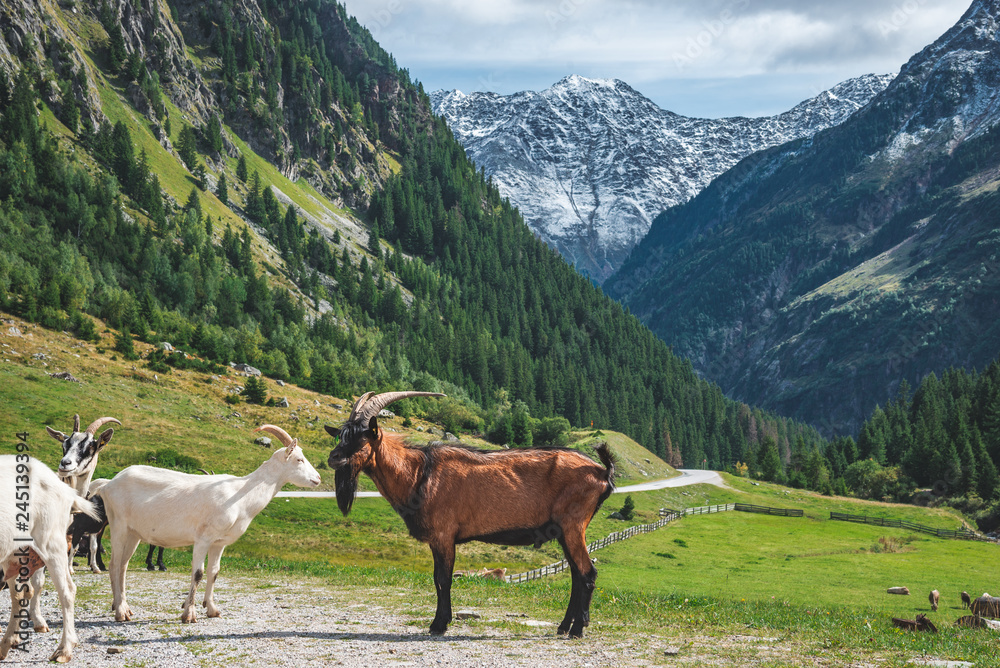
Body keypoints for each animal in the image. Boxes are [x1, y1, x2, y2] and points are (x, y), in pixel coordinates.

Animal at [0, 455, 101, 663]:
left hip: (51, 542)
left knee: (67, 591)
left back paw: (64, 649)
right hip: (13, 554)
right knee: (20, 593)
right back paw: (6, 643)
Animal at [100, 425, 321, 623]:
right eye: (299, 459)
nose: (317, 478)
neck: (240, 494)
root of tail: (108, 484)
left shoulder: (219, 542)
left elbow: (214, 573)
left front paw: (212, 609)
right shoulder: (203, 539)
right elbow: (198, 573)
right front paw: (189, 614)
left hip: (133, 533)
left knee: (123, 566)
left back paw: (124, 607)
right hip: (118, 526)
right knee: (114, 565)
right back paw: (120, 612)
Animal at [326, 391, 615, 638]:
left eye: (362, 437)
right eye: (341, 435)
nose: (334, 458)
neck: (419, 473)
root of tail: (602, 472)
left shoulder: (444, 535)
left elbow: (442, 579)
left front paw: (439, 625)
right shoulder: (438, 539)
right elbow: (438, 579)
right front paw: (440, 622)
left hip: (573, 525)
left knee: (587, 574)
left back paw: (577, 629)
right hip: (564, 532)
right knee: (576, 575)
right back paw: (563, 627)